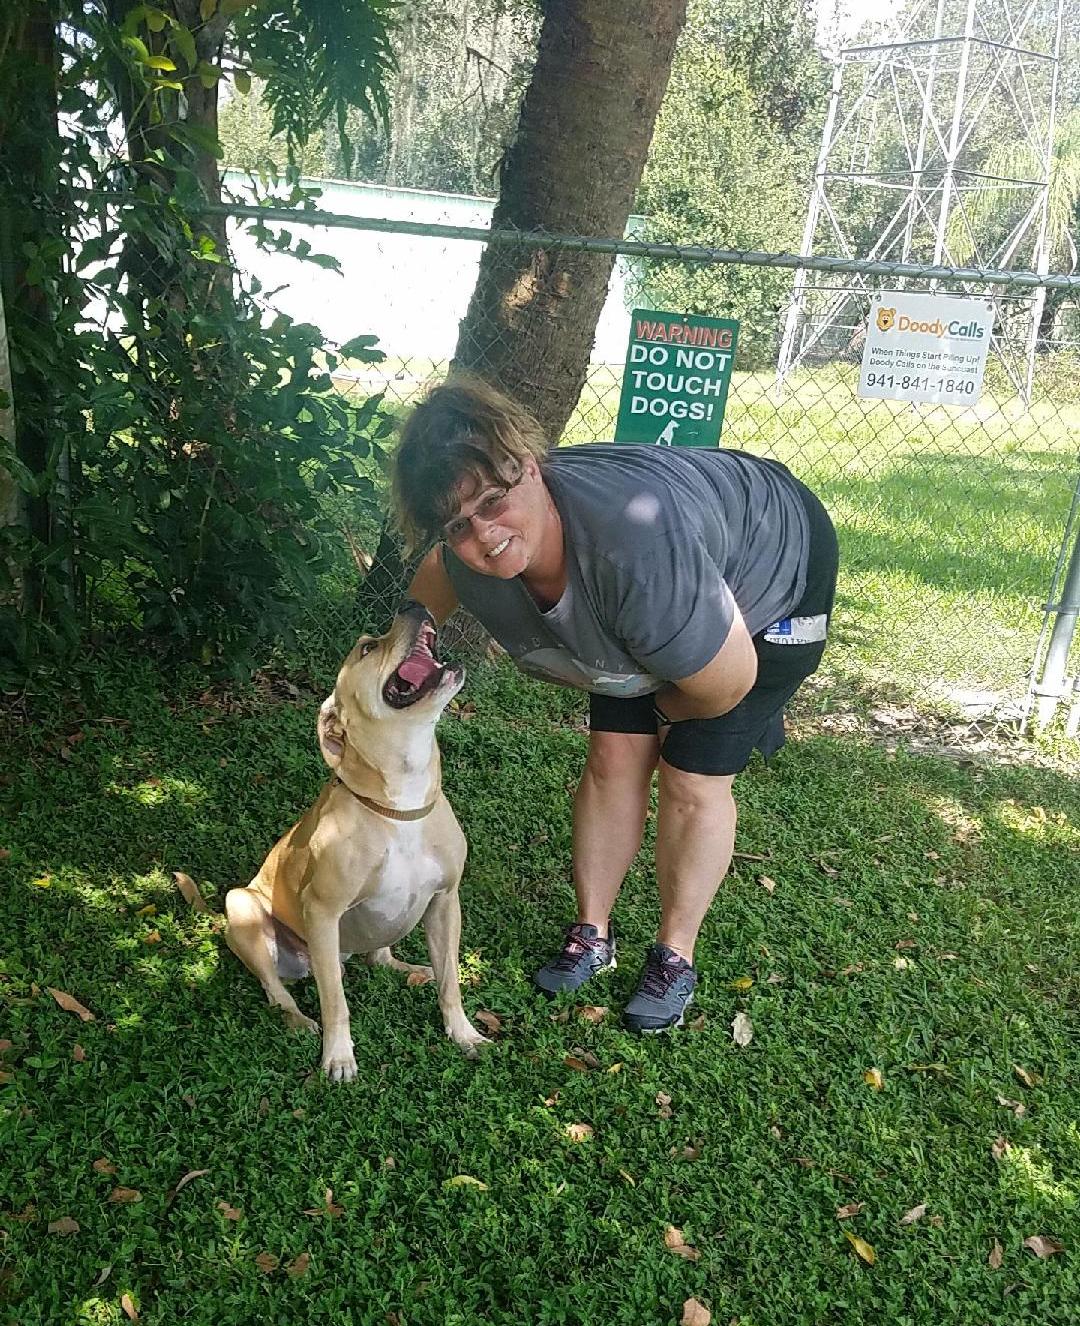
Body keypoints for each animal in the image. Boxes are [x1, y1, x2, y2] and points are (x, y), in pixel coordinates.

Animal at [226, 602, 488, 1076]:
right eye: (367, 648)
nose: (413, 605)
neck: (400, 805)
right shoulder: (323, 911)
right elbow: (336, 1001)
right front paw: (339, 1056)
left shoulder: (445, 901)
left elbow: (451, 982)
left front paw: (463, 1033)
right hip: (241, 907)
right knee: (278, 990)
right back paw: (297, 1019)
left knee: (380, 957)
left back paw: (411, 969)